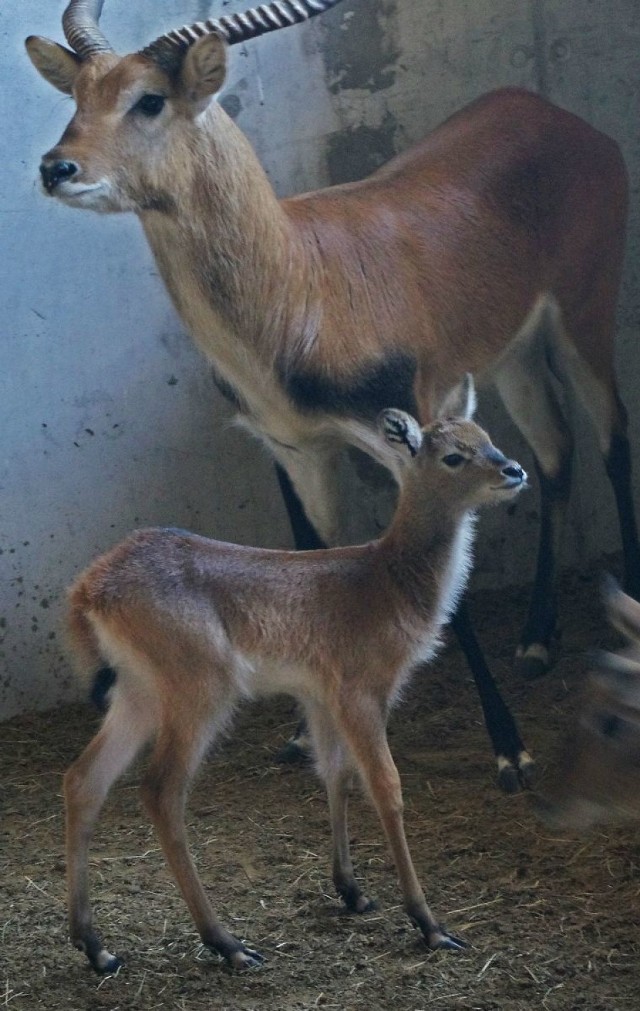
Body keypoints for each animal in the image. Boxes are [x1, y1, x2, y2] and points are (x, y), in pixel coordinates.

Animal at [25, 0, 638, 788]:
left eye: (149, 98)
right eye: (79, 93)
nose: (56, 167)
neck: (298, 288)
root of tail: (556, 115)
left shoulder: (411, 429)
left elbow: (451, 588)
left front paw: (510, 749)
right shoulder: (296, 449)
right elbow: (305, 560)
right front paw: (297, 733)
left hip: (585, 315)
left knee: (613, 439)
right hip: (515, 354)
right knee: (556, 451)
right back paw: (535, 641)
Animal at [63, 378, 525, 970]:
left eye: (485, 435)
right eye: (452, 455)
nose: (514, 469)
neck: (389, 580)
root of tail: (88, 590)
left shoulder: (319, 693)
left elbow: (335, 773)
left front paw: (352, 891)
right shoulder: (361, 689)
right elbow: (386, 786)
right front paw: (430, 924)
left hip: (138, 690)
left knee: (85, 779)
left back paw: (97, 947)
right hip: (200, 687)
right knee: (160, 790)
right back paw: (229, 945)